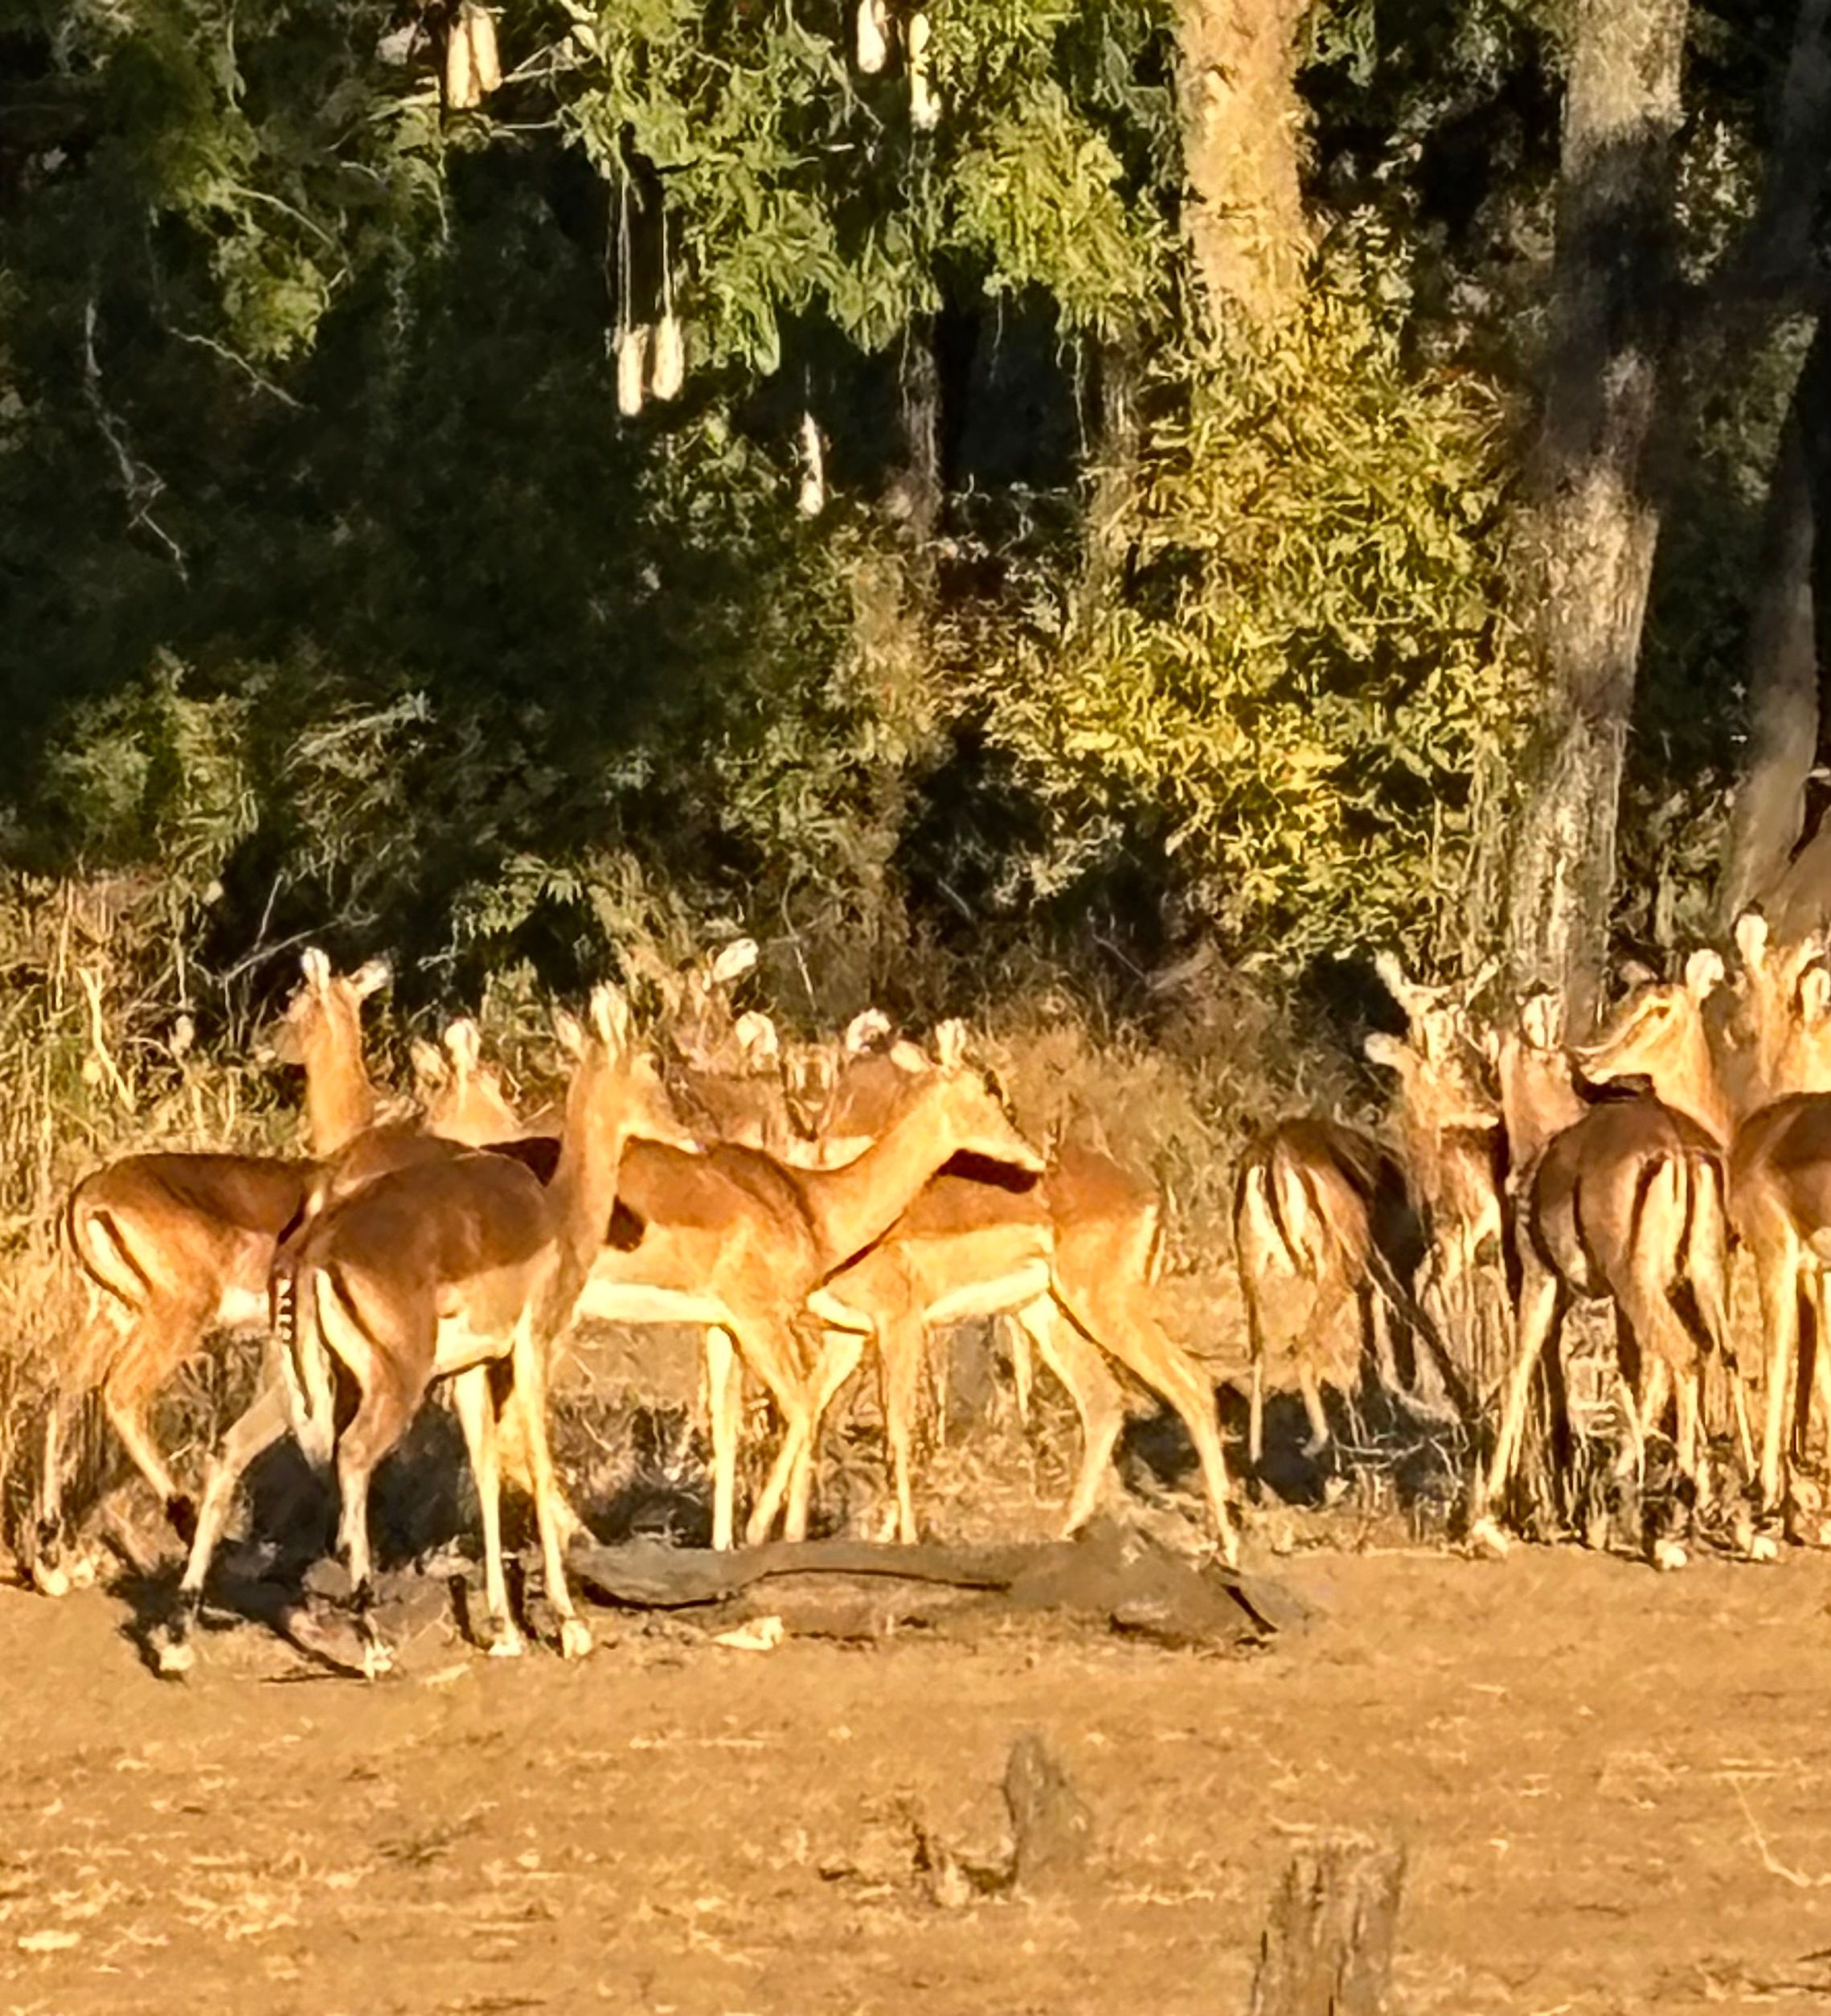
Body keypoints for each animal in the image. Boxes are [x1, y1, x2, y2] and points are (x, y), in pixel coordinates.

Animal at [33, 951, 389, 1594]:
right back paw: (183, 1519)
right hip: (173, 1317)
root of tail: (87, 1196)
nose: (263, 1045)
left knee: (63, 1392)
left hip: (113, 1316)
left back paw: (53, 1555)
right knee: (119, 1393)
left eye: (294, 1000)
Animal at [1472, 955, 1735, 1568]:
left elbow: (1520, 1369)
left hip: (1640, 1285)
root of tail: (1681, 1151)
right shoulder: (1606, 1298)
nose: (1590, 1059)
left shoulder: (1542, 1281)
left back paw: (1676, 1513)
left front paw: (1487, 1518)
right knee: (1722, 1355)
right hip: (1701, 1279)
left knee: (1686, 1357)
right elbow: (1629, 1378)